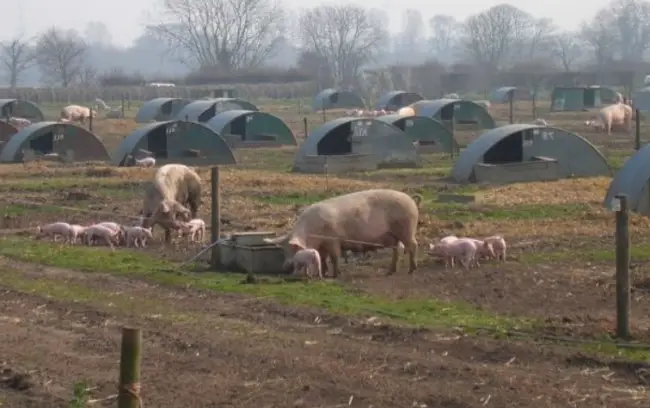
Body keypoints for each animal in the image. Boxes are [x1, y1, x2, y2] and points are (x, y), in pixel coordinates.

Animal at [264, 189, 421, 278]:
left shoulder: (333, 239)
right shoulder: (322, 245)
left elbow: (334, 257)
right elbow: (323, 257)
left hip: (406, 228)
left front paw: (335, 275)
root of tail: (411, 200)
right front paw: (325, 273)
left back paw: (412, 270)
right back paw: (390, 272)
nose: (285, 267)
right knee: (398, 250)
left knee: (413, 246)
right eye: (284, 250)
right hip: (394, 235)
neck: (312, 233)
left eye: (294, 249)